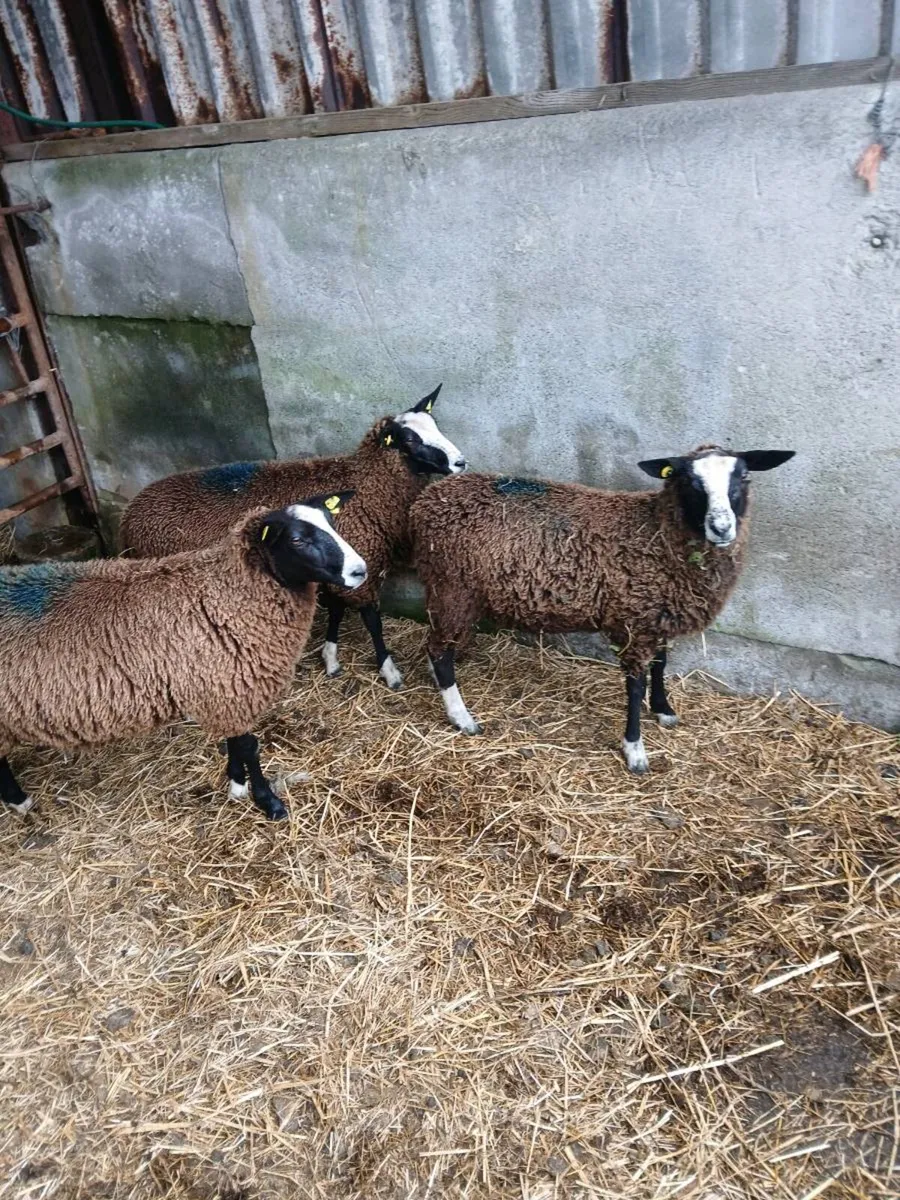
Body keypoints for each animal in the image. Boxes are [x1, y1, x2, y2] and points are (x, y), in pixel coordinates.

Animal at [0, 493, 367, 822]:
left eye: (332, 522)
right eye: (296, 539)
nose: (360, 571)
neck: (226, 595)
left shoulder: (225, 687)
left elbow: (235, 744)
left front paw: (236, 784)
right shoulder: (229, 689)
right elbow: (249, 747)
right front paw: (268, 802)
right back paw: (20, 802)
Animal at [120, 385, 466, 692]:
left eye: (436, 425)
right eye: (409, 439)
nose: (460, 462)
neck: (366, 485)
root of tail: (128, 515)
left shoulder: (334, 567)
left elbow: (336, 611)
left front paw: (331, 657)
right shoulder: (357, 565)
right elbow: (372, 621)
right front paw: (389, 670)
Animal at [410, 446, 794, 773]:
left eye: (743, 476)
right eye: (689, 481)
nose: (721, 527)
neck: (657, 533)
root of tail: (427, 501)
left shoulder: (657, 614)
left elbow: (661, 663)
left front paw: (664, 710)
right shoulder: (633, 621)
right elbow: (636, 686)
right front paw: (635, 750)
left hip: (452, 590)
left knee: (438, 643)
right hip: (453, 587)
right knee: (438, 649)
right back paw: (462, 717)